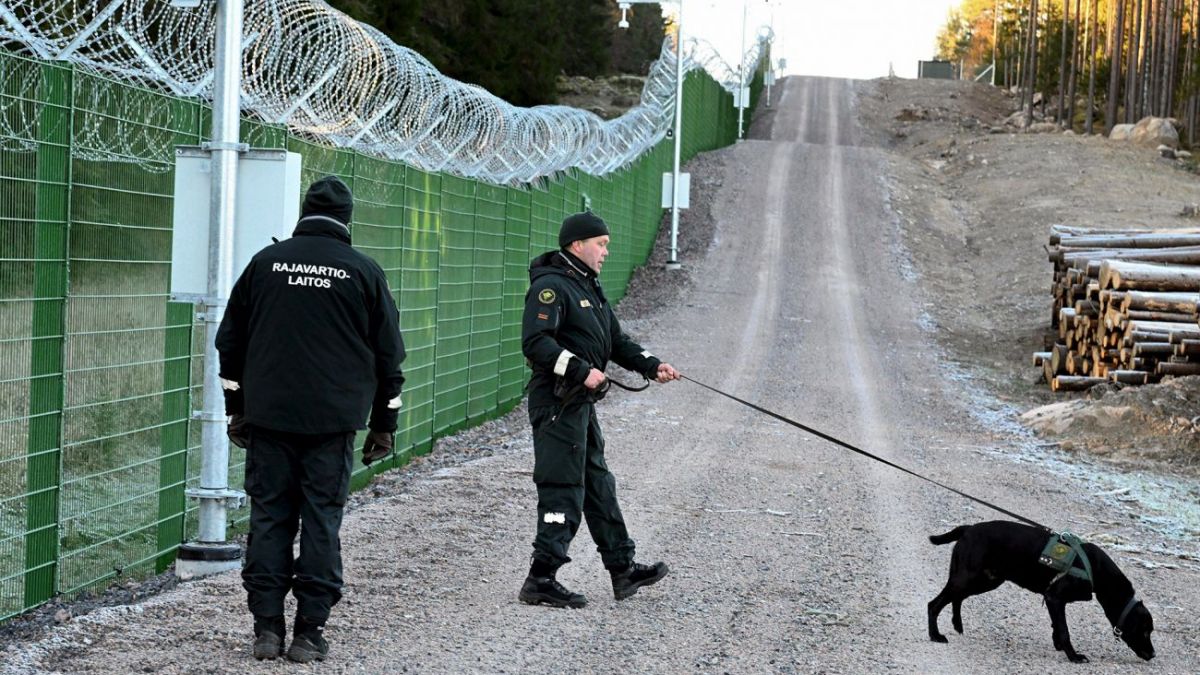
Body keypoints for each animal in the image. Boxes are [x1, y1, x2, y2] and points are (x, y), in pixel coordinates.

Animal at [926, 521, 1152, 658]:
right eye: (1145, 631)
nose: (1153, 654)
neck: (1095, 569)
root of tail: (968, 528)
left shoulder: (1054, 601)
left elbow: (1057, 626)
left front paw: (1059, 646)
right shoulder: (1054, 598)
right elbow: (1064, 630)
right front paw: (1073, 656)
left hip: (985, 580)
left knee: (956, 599)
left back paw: (957, 625)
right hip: (968, 578)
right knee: (934, 604)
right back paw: (935, 635)